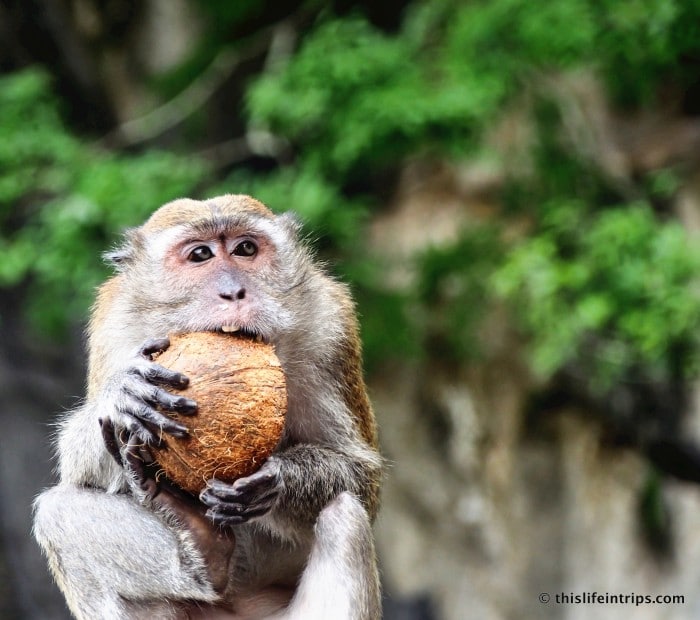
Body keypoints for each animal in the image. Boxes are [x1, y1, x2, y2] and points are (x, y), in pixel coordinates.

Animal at [32, 194, 383, 619]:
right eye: (200, 254)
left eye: (245, 249)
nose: (233, 292)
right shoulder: (112, 327)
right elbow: (77, 471)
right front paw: (122, 397)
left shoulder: (331, 328)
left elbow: (360, 476)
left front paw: (275, 480)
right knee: (56, 514)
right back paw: (206, 549)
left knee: (344, 515)